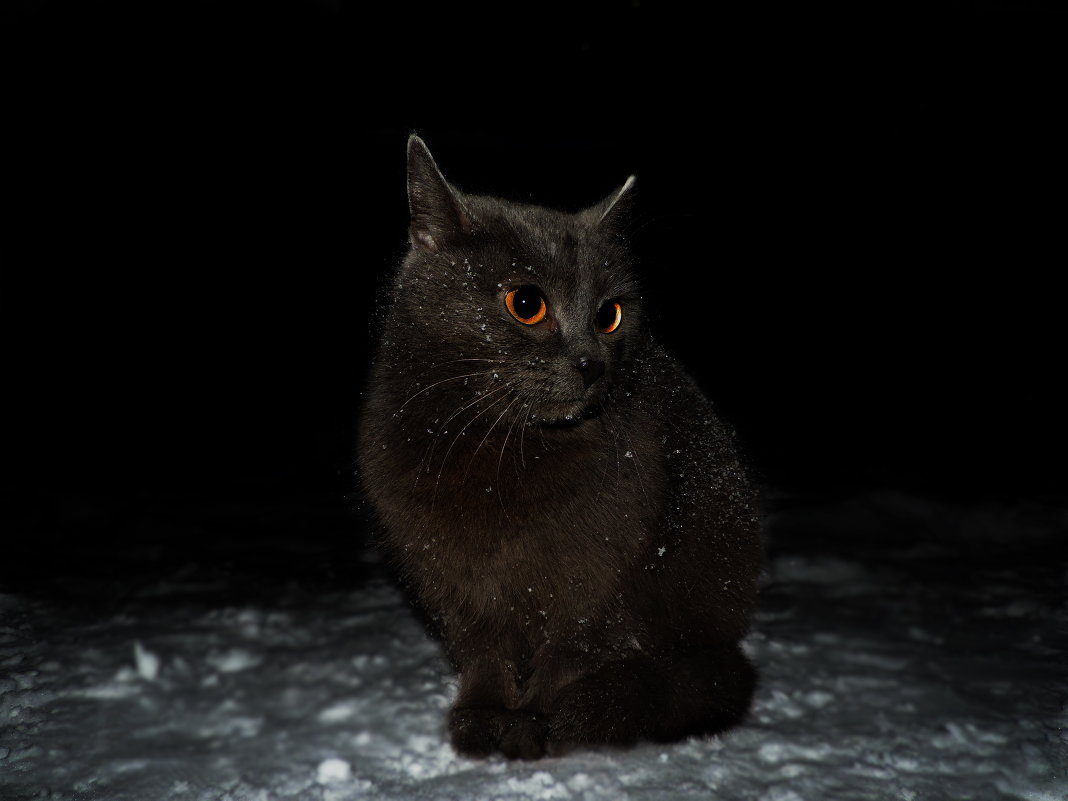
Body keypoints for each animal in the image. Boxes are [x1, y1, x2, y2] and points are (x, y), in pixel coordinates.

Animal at [356, 136, 760, 760]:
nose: (591, 363)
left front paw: (534, 726)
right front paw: (482, 718)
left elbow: (565, 656)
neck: (500, 450)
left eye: (609, 315)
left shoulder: (597, 582)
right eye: (526, 303)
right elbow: (484, 652)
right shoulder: (450, 580)